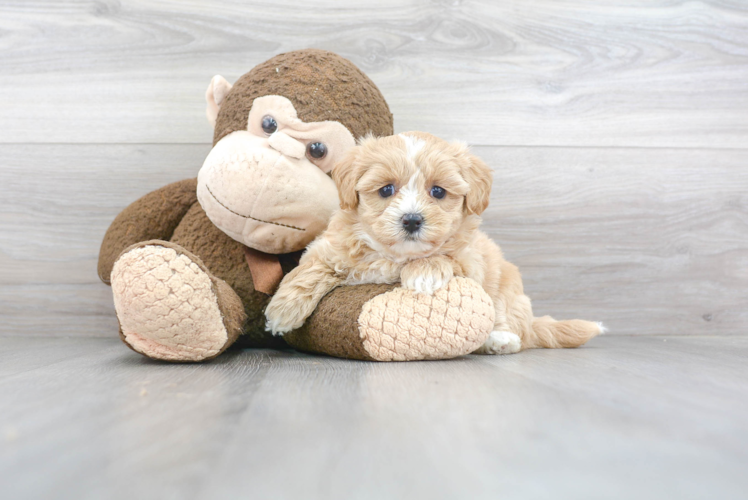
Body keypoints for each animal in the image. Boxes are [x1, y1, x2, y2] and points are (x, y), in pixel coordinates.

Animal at [262, 131, 600, 354]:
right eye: (386, 190)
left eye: (438, 191)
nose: (412, 220)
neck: (393, 256)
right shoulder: (331, 247)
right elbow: (312, 268)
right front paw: (283, 309)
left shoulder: (470, 262)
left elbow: (444, 257)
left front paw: (423, 273)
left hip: (507, 292)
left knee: (514, 330)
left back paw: (500, 340)